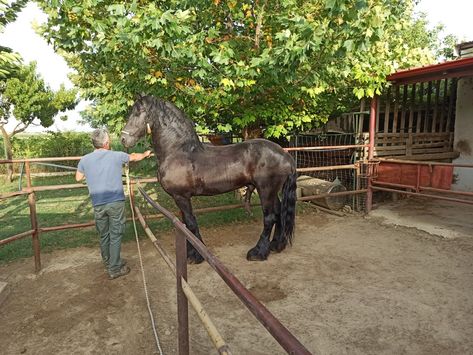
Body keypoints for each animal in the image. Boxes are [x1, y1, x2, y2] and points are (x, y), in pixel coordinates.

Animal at [121, 94, 296, 264]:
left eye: (138, 112)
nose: (123, 139)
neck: (178, 151)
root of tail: (285, 154)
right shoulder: (181, 198)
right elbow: (186, 224)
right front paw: (191, 253)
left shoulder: (181, 197)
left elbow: (191, 223)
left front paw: (197, 255)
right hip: (271, 191)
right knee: (278, 213)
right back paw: (276, 245)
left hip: (266, 190)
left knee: (269, 217)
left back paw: (258, 253)